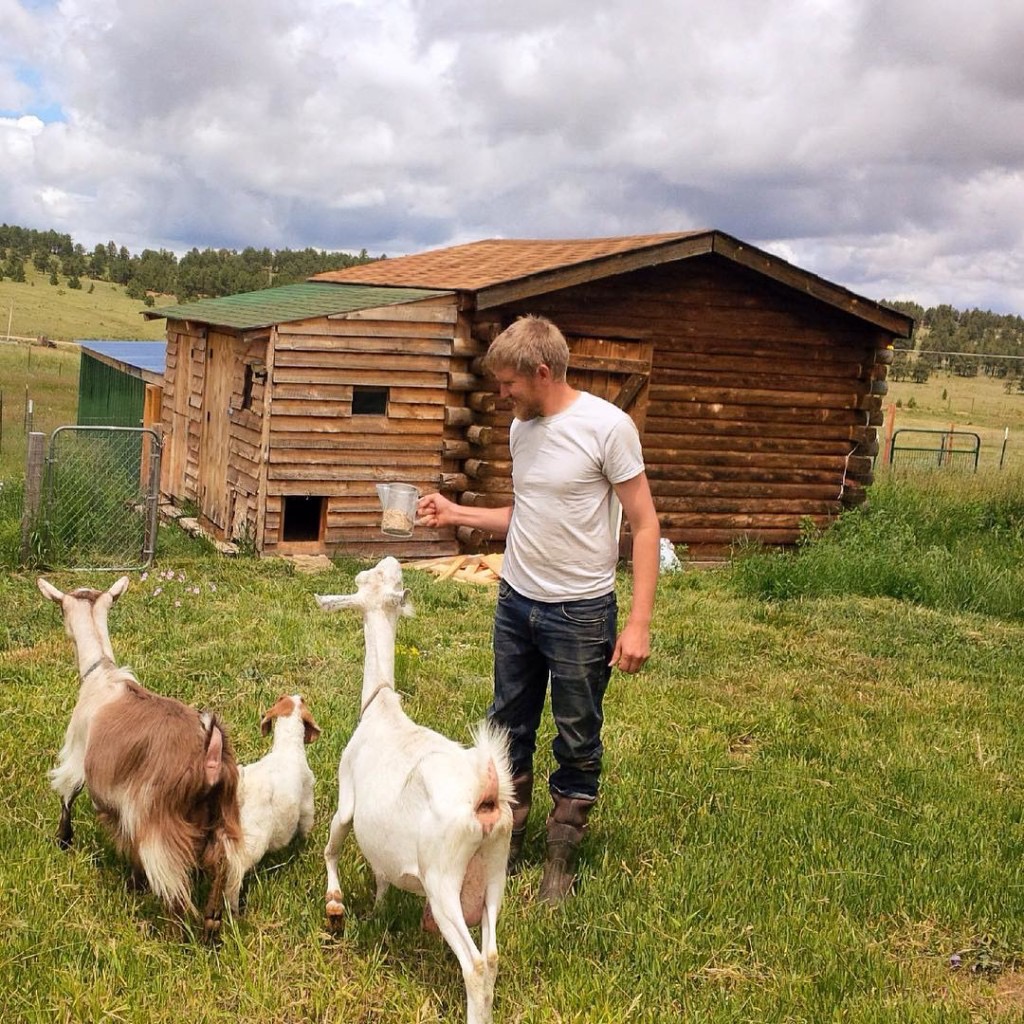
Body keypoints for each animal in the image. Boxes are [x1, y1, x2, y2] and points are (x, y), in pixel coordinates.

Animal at [37, 576, 245, 940]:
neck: (101, 674)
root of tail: (210, 750)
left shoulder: (77, 755)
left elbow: (66, 792)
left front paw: (63, 840)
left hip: (158, 823)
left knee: (175, 890)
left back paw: (171, 934)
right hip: (222, 811)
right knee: (222, 861)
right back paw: (211, 925)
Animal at [235, 693, 321, 900]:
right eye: (303, 701)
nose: (299, 695)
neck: (287, 748)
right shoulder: (307, 802)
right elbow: (306, 826)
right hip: (251, 843)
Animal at [316, 557, 514, 1024]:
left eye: (363, 578)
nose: (391, 559)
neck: (381, 706)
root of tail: (486, 787)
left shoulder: (347, 792)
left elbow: (333, 841)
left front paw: (335, 905)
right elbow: (382, 875)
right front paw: (377, 908)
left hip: (443, 877)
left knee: (475, 964)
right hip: (495, 867)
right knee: (493, 955)